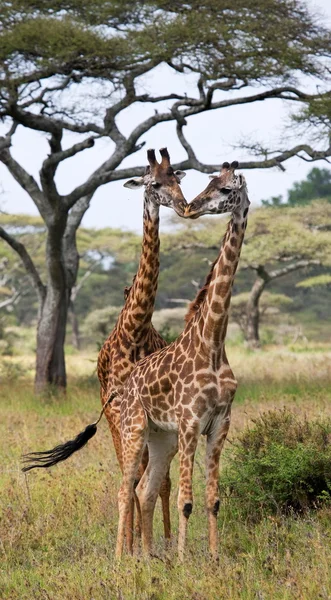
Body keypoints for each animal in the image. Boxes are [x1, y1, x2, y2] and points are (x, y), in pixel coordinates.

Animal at [114, 162, 249, 560]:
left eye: (224, 190)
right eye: (210, 183)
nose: (191, 208)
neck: (213, 342)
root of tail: (127, 384)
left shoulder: (220, 423)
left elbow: (213, 499)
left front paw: (214, 558)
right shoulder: (191, 422)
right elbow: (185, 501)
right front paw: (185, 559)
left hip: (162, 438)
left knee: (145, 489)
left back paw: (146, 557)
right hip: (134, 429)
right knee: (124, 490)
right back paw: (120, 558)